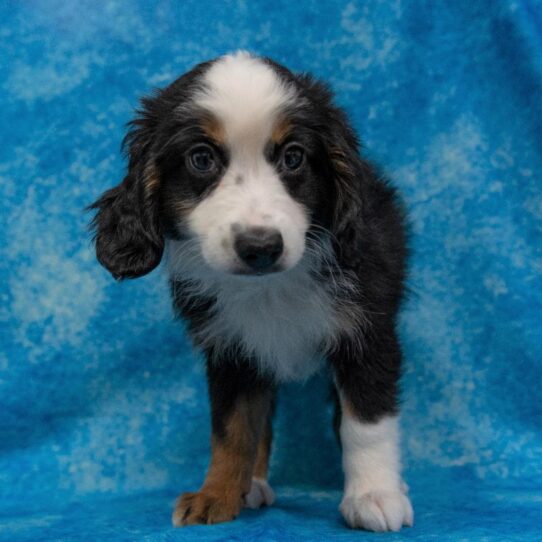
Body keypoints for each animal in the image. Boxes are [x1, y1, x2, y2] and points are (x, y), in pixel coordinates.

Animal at [89, 52, 414, 536]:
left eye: (294, 157)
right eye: (201, 158)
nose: (260, 247)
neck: (269, 288)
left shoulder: (369, 332)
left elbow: (367, 421)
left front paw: (374, 495)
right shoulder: (229, 349)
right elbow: (233, 427)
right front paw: (217, 495)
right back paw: (253, 484)